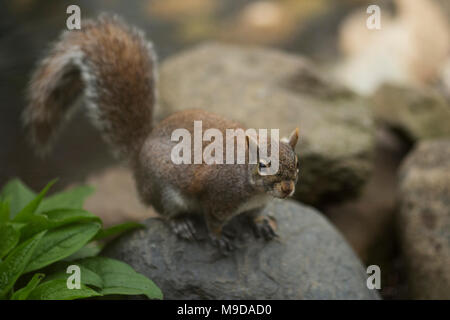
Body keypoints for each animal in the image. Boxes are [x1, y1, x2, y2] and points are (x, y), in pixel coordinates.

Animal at [23, 15, 298, 254]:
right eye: (263, 165)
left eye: (296, 163)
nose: (287, 190)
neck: (254, 189)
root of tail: (139, 156)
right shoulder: (217, 198)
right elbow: (213, 223)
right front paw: (219, 238)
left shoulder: (257, 203)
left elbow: (255, 215)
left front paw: (261, 223)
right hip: (165, 193)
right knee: (164, 212)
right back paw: (181, 224)